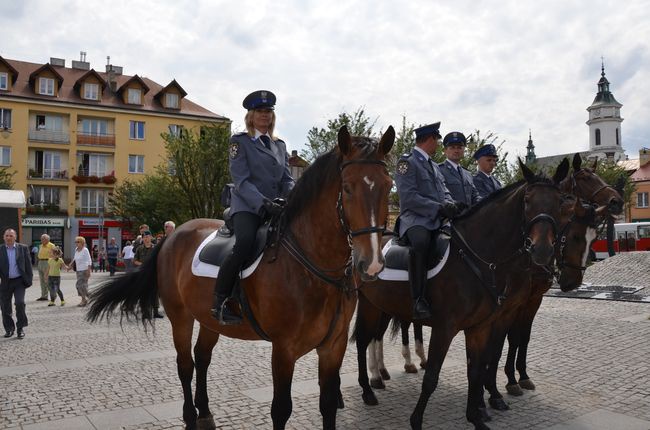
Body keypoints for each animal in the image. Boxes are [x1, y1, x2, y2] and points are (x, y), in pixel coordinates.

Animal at [86, 127, 394, 430]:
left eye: (388, 185)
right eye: (347, 188)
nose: (372, 263)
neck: (313, 267)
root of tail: (172, 236)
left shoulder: (333, 346)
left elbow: (328, 405)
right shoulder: (284, 349)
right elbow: (281, 410)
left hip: (209, 318)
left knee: (202, 357)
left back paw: (205, 412)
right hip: (180, 316)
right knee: (185, 364)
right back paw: (190, 417)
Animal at [354, 160, 568, 428]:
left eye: (560, 202)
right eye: (527, 201)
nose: (542, 250)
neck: (479, 257)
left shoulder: (481, 326)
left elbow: (476, 370)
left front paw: (477, 416)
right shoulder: (445, 327)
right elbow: (432, 376)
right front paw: (416, 420)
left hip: (380, 305)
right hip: (366, 304)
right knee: (362, 341)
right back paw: (367, 390)